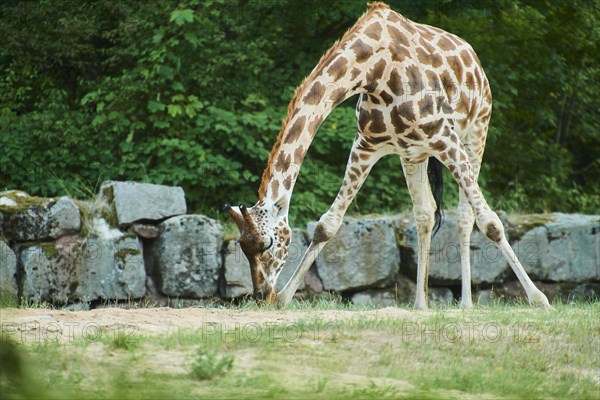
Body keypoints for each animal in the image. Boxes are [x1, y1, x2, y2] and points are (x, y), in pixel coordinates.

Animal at [223, 2, 552, 310]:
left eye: (268, 243)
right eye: (243, 247)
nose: (261, 295)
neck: (374, 68)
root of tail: (475, 59)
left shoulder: (445, 137)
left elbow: (491, 223)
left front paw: (539, 298)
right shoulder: (366, 146)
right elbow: (327, 224)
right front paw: (286, 297)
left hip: (476, 131)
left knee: (465, 215)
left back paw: (467, 303)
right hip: (414, 154)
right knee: (425, 213)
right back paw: (421, 303)